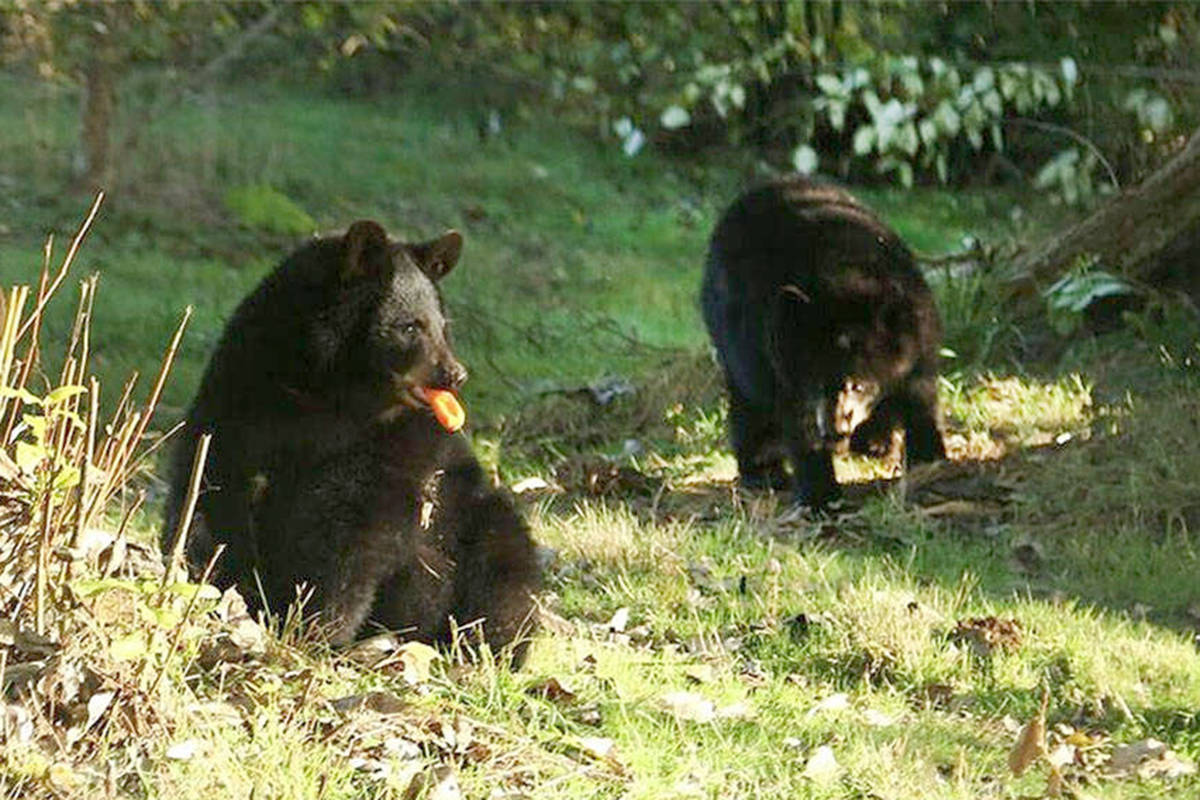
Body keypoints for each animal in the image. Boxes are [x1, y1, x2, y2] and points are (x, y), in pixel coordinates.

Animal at [163, 219, 540, 662]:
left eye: (443, 327)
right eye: (410, 326)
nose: (455, 375)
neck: (326, 394)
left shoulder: (389, 446)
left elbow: (349, 534)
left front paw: (315, 628)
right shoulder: (236, 400)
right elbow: (211, 490)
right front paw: (207, 581)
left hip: (478, 524)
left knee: (501, 577)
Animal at [700, 178, 945, 510]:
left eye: (858, 384)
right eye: (815, 384)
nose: (835, 429)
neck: (842, 278)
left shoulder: (917, 337)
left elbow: (920, 395)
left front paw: (929, 457)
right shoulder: (781, 356)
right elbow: (799, 425)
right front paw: (820, 496)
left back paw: (875, 441)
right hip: (734, 341)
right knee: (748, 401)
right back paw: (763, 471)